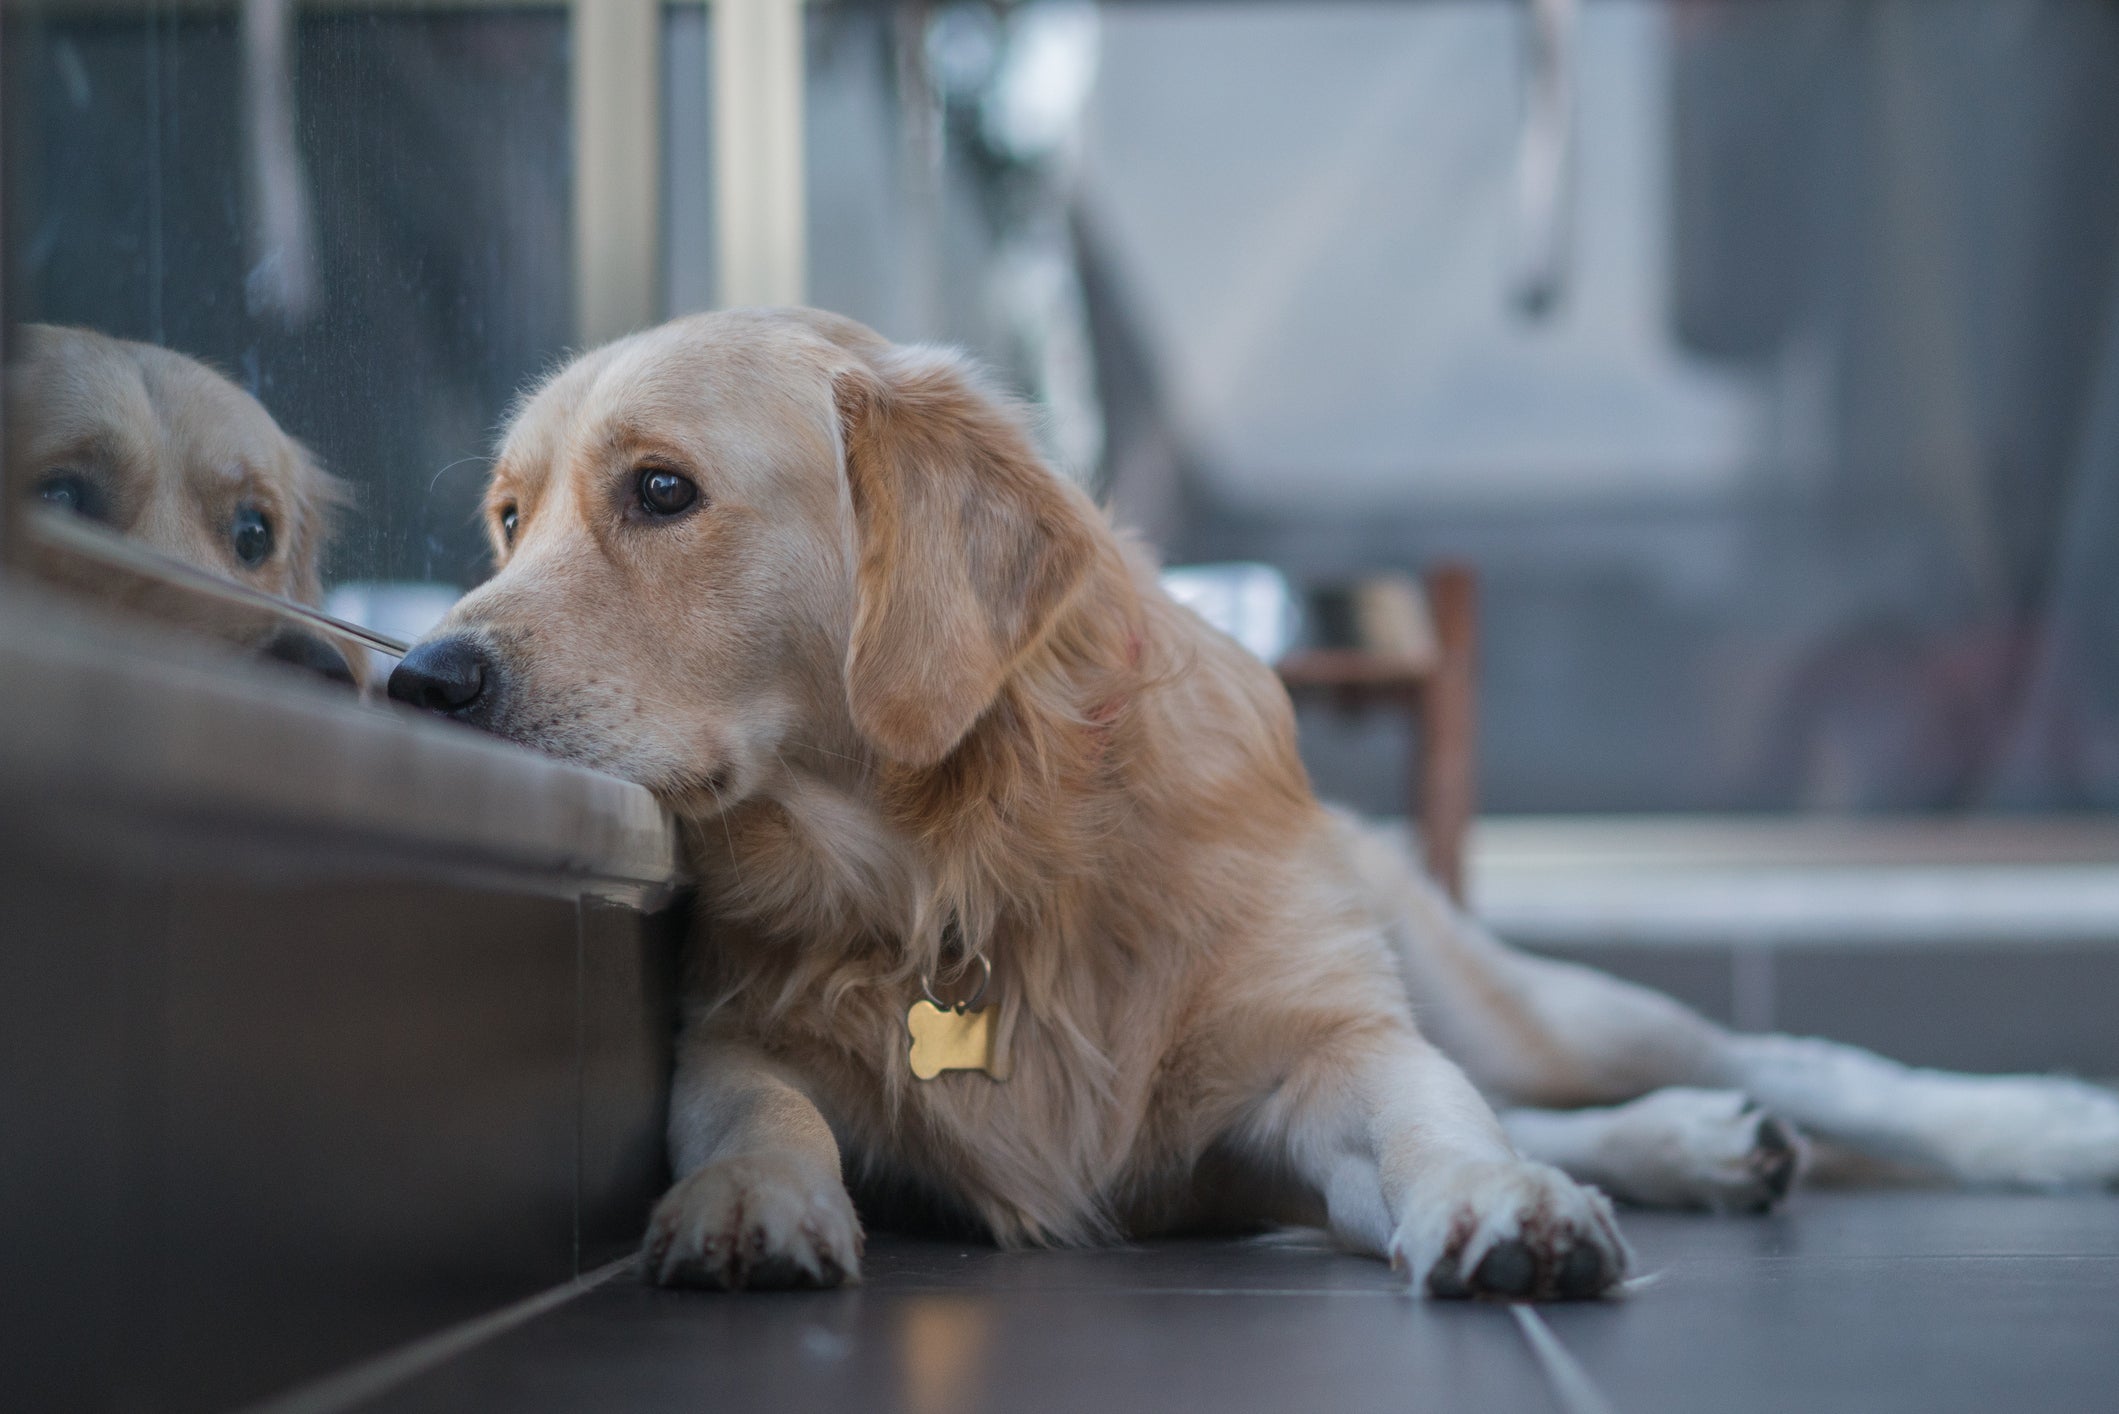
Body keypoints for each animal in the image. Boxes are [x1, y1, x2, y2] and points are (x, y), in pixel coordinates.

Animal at [385, 311, 2119, 1305]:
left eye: (661, 491)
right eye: (508, 515)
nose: (420, 675)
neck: (961, 859)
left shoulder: (1315, 1049)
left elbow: (1426, 1114)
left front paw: (1498, 1201)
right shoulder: (737, 1028)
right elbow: (756, 1107)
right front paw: (747, 1200)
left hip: (1514, 996)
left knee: (1775, 1058)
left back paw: (2030, 1124)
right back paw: (1692, 1143)